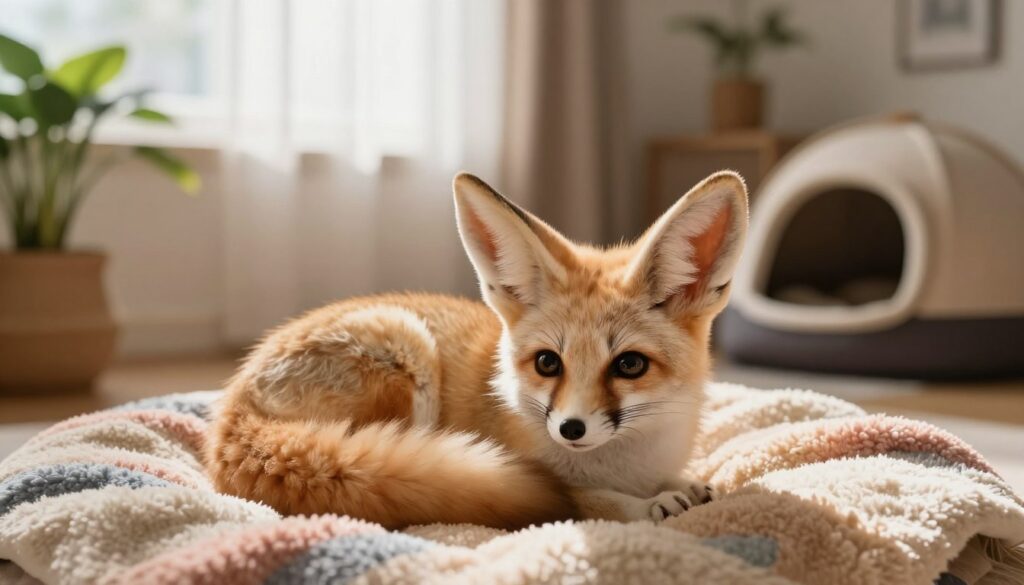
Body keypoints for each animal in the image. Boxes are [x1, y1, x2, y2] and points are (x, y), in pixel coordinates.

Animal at [206, 170, 748, 529]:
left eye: (629, 365)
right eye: (548, 362)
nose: (571, 429)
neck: (624, 464)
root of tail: (230, 409)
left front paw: (683, 486)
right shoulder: (552, 480)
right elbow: (593, 502)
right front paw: (649, 506)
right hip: (406, 347)